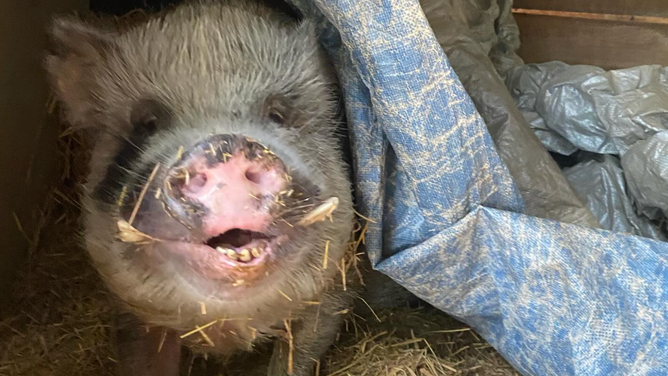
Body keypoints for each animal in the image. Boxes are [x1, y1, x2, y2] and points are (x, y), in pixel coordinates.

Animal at [44, 1, 358, 374]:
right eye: (146, 124)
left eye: (278, 114)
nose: (224, 145)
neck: (226, 326)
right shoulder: (133, 312)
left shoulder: (333, 289)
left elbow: (296, 356)